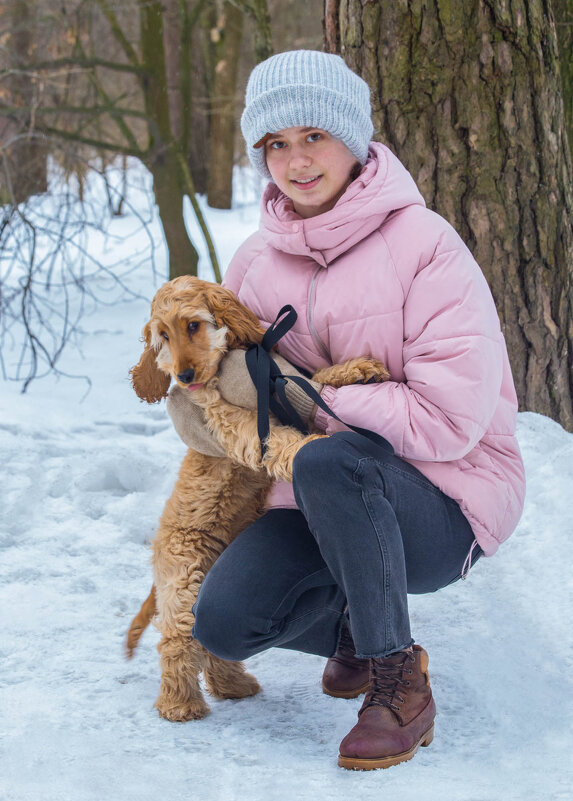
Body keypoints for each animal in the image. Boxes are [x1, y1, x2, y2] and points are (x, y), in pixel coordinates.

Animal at [128, 276, 388, 720]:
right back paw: (180, 704)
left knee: (208, 642)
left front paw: (358, 370)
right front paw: (310, 448)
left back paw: (233, 685)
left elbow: (312, 380)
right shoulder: (230, 423)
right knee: (177, 642)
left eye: (192, 325)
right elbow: (275, 439)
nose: (183, 375)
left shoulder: (278, 387)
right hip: (185, 578)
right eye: (162, 336)